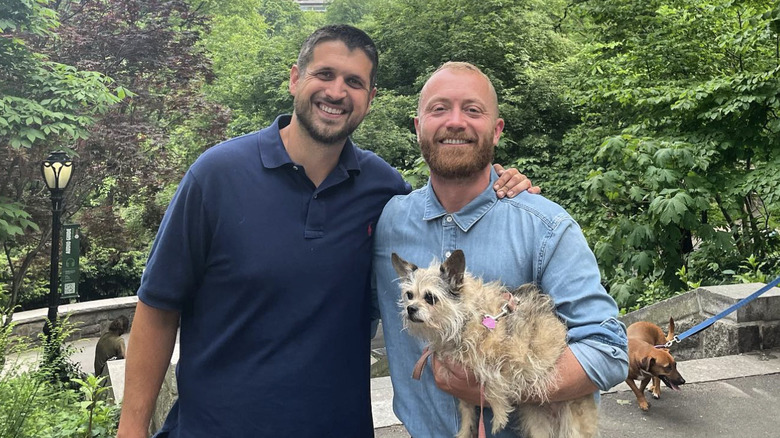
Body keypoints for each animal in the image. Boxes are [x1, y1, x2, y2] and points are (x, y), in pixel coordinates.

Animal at [394, 250, 600, 438]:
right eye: (409, 295)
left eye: (430, 297)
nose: (410, 309)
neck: (466, 319)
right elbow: (466, 410)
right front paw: (464, 432)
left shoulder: (515, 356)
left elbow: (493, 381)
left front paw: (499, 415)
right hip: (537, 424)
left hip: (572, 424)